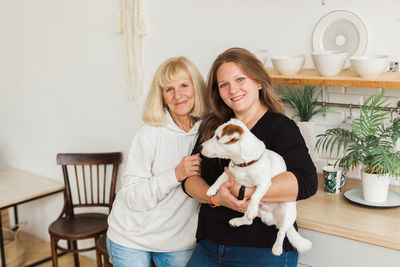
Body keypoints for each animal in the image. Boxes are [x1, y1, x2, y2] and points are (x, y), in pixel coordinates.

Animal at [203, 119, 312, 255]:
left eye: (217, 137)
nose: (201, 147)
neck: (243, 164)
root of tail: (272, 219)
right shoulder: (228, 172)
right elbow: (219, 178)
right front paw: (212, 189)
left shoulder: (264, 183)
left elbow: (255, 196)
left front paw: (251, 209)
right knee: (249, 221)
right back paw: (238, 221)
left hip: (288, 213)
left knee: (281, 232)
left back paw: (277, 247)